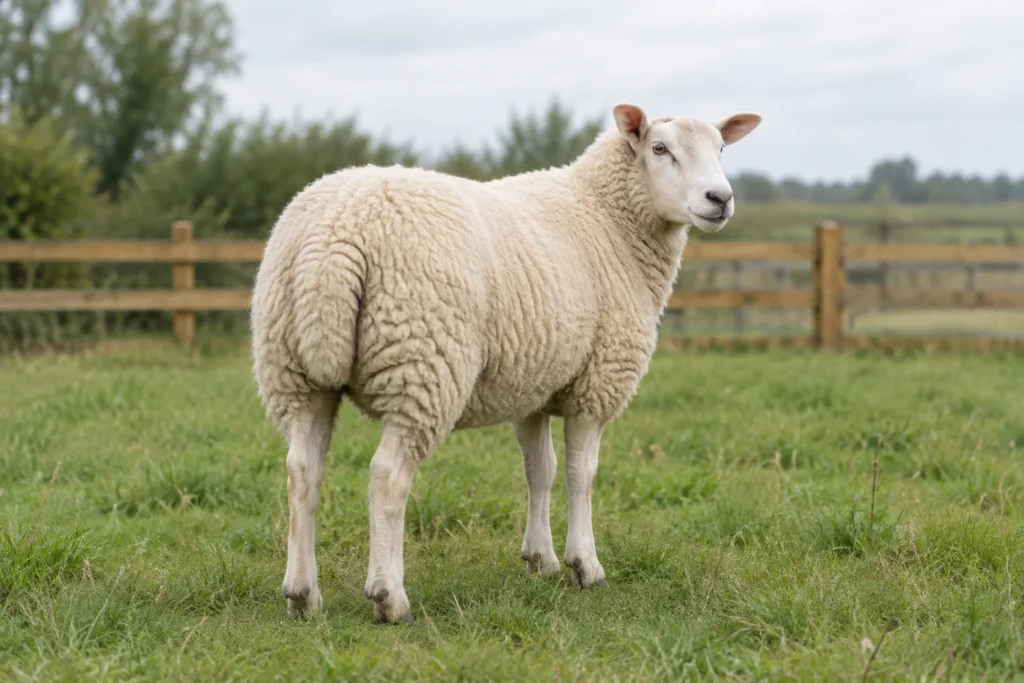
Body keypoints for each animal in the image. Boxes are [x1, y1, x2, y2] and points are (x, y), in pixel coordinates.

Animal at [249, 102, 762, 623]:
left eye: (722, 148)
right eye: (660, 148)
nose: (720, 198)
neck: (608, 219)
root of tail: (334, 238)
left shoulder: (533, 386)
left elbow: (540, 469)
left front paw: (541, 559)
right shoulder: (597, 382)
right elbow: (582, 473)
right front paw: (586, 565)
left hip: (294, 371)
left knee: (302, 472)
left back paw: (303, 594)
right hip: (422, 364)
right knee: (388, 477)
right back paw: (390, 597)